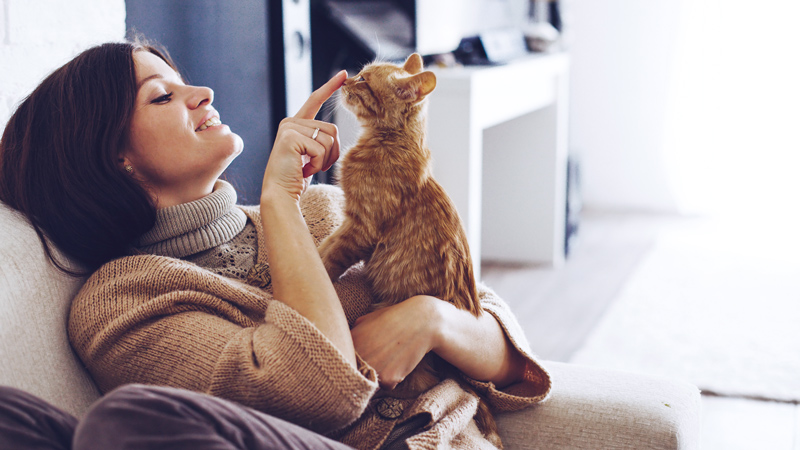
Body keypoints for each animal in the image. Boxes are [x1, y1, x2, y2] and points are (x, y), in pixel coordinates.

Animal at [318, 54, 500, 448]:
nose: (345, 79)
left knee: (415, 388)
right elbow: (324, 244)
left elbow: (328, 256)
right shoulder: (351, 224)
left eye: (365, 81)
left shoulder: (360, 228)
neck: (386, 141)